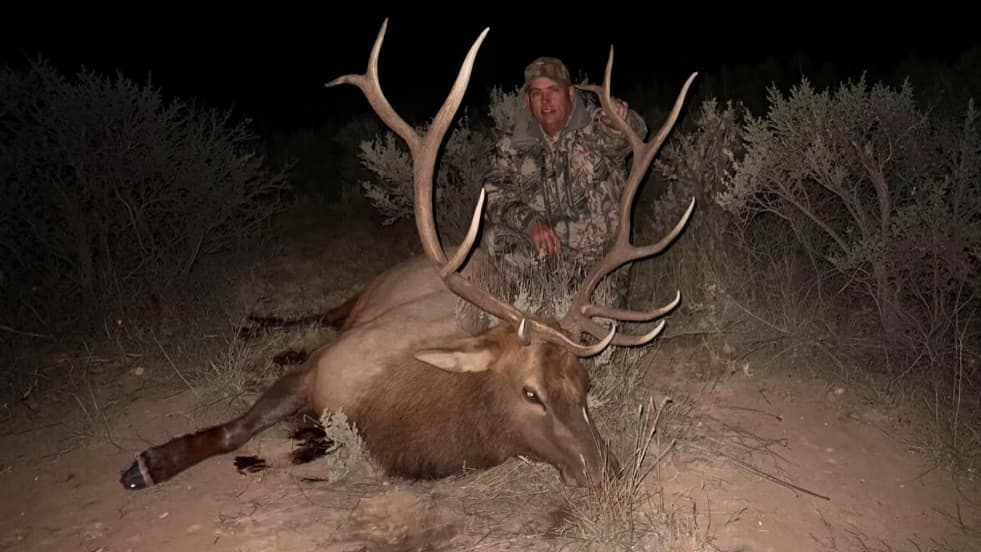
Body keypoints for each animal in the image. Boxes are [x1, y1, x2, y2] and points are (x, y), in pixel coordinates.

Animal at [119, 19, 697, 491]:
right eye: (530, 393)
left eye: (584, 386)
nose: (607, 472)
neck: (392, 414)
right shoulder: (326, 366)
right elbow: (235, 431)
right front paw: (150, 463)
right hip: (365, 295)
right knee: (321, 313)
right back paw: (254, 326)